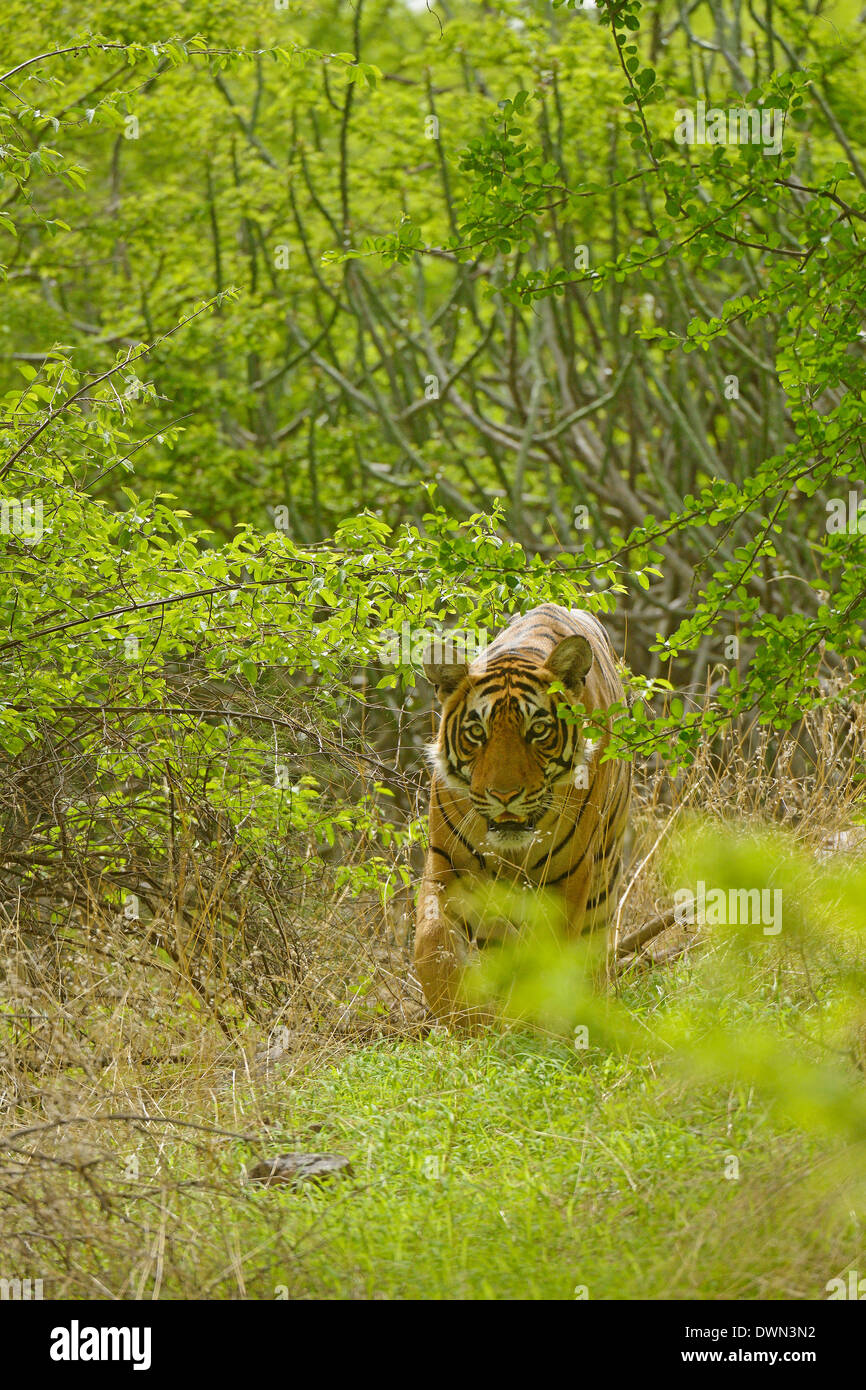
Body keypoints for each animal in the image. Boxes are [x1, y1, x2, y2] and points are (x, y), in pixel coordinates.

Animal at [414, 603, 631, 1028]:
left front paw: (522, 1026)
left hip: (603, 877)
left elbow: (543, 960)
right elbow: (432, 944)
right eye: (477, 732)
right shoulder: (447, 869)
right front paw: (465, 1023)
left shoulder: (565, 880)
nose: (504, 796)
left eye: (538, 730)